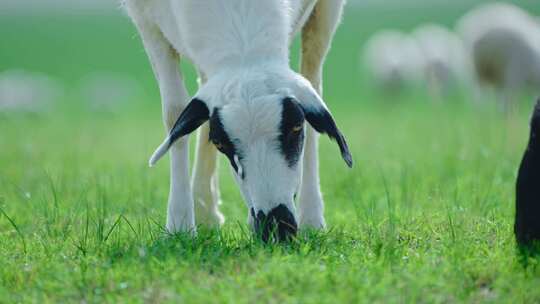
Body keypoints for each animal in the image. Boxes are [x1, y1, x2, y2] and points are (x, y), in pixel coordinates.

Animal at [123, 0, 352, 242]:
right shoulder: (145, 18)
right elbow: (174, 112)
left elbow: (310, 83)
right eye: (220, 143)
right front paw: (180, 226)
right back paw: (205, 210)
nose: (276, 227)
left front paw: (311, 220)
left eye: (297, 127)